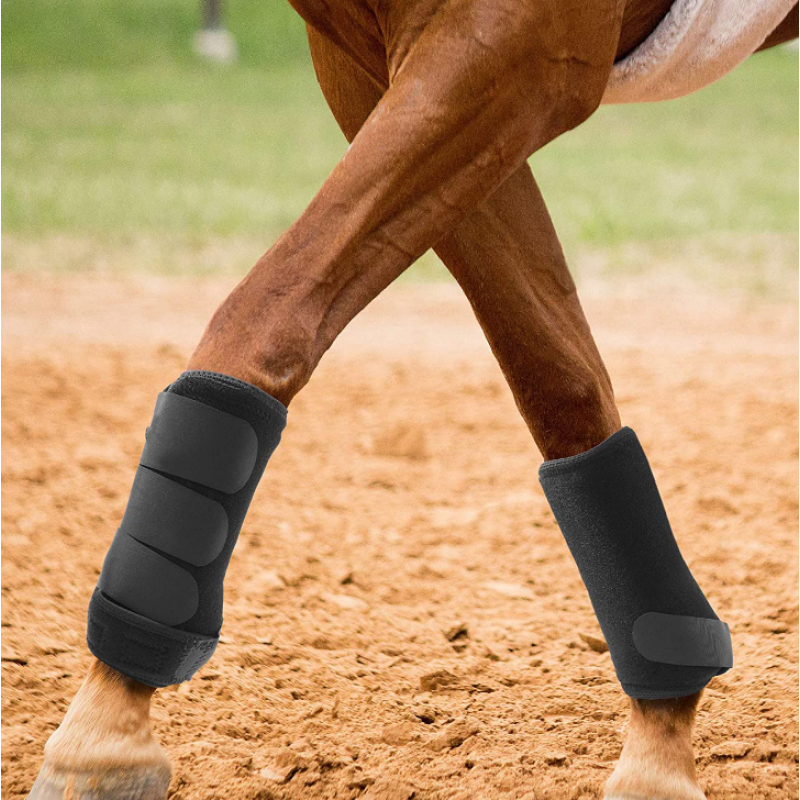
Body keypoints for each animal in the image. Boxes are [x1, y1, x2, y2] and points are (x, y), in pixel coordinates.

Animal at [26, 0, 798, 798]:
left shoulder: (511, 56)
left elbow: (266, 315)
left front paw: (104, 730)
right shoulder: (375, 71)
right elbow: (559, 379)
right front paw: (661, 737)